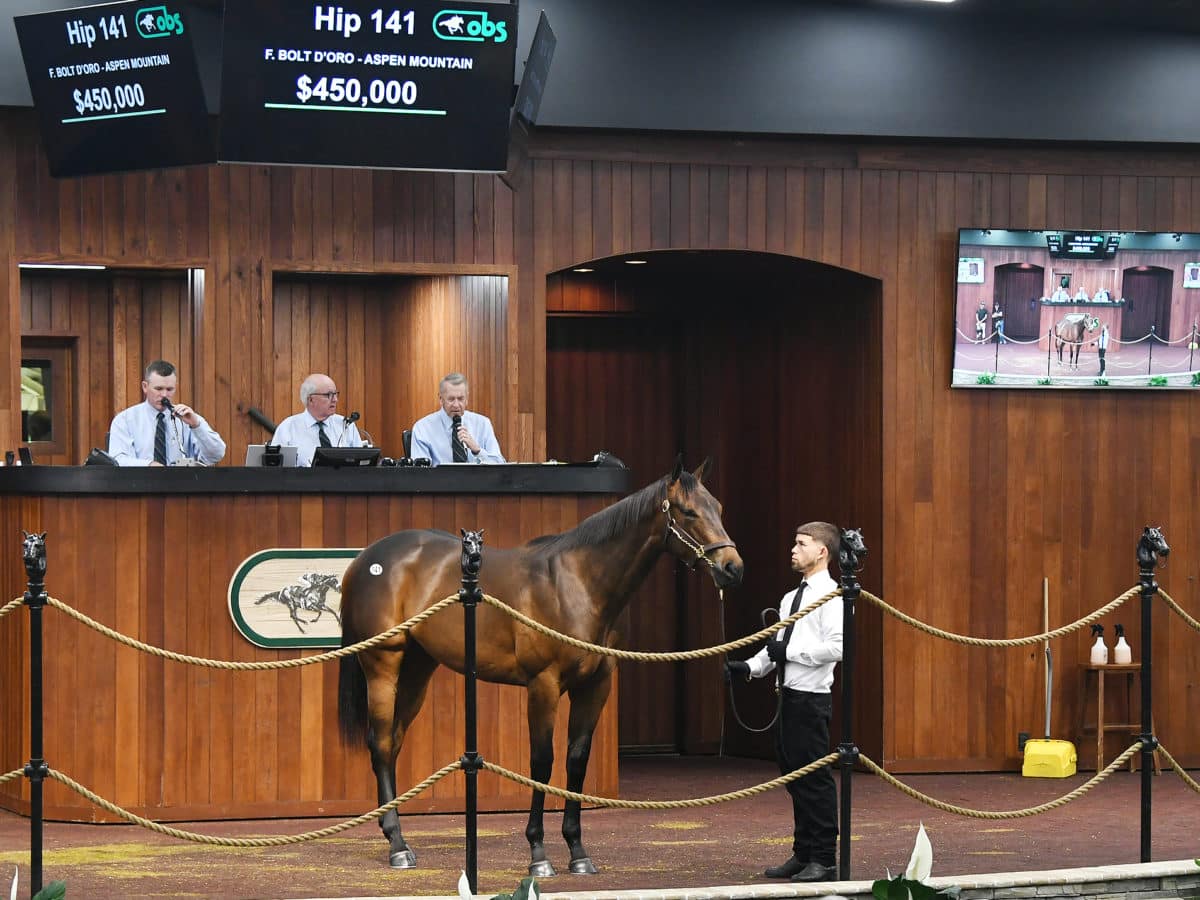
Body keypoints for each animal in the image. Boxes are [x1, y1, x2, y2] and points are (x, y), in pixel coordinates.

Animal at [333, 458, 734, 873]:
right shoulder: (543, 684)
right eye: (688, 512)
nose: (731, 566)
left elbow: (577, 760)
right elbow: (542, 762)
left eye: (717, 508)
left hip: (417, 669)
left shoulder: (596, 686)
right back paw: (397, 844)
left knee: (394, 741)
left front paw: (578, 851)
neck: (578, 584)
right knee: (380, 742)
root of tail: (366, 559)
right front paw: (538, 852)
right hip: (384, 665)